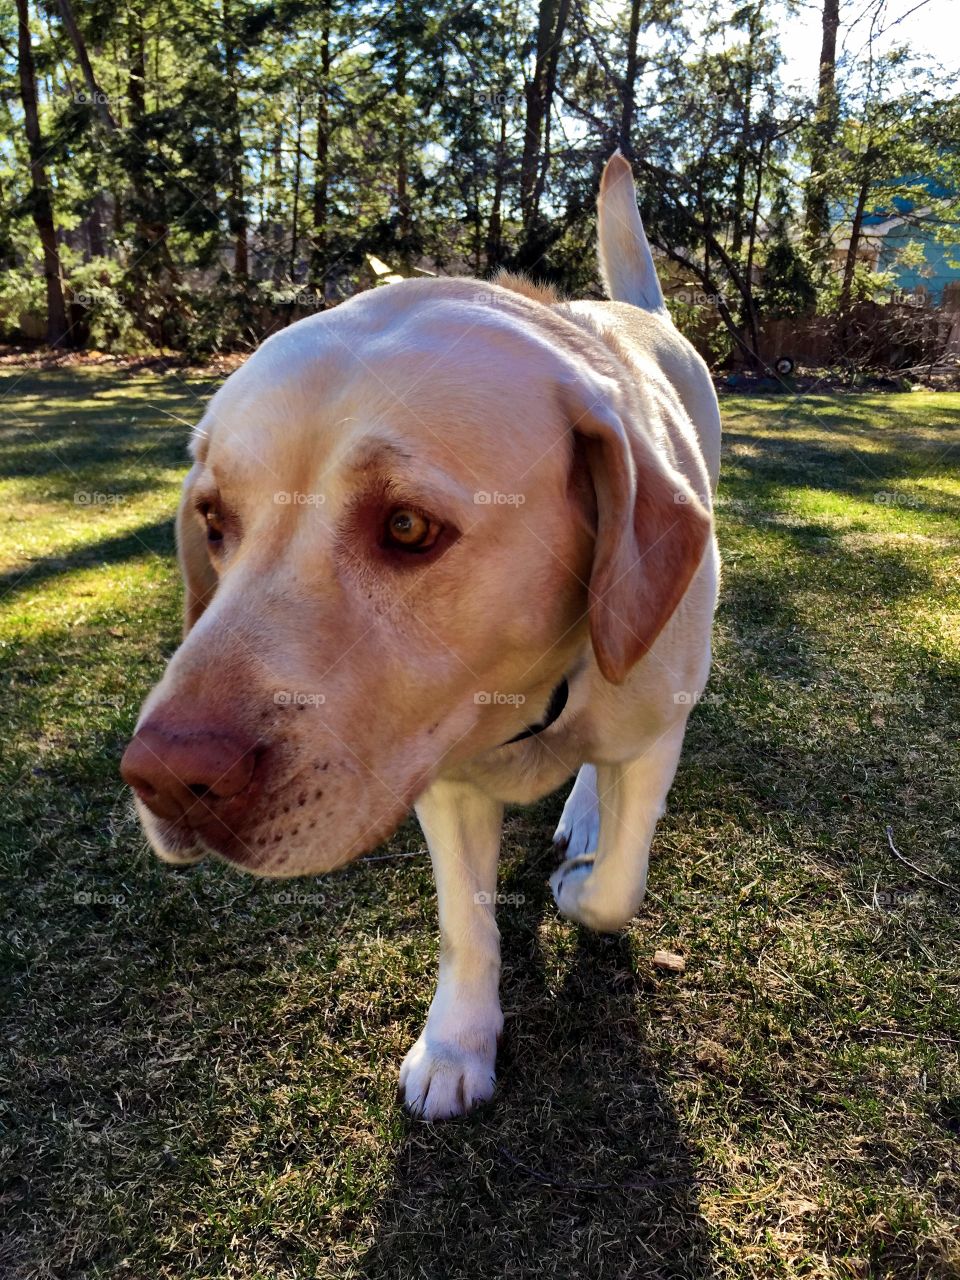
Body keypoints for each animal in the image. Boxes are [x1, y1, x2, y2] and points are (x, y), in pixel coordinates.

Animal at [122, 154, 721, 1121]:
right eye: (212, 520)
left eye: (406, 528)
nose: (168, 780)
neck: (526, 699)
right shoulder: (439, 775)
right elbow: (466, 924)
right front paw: (456, 1044)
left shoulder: (657, 729)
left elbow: (615, 889)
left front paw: (583, 879)